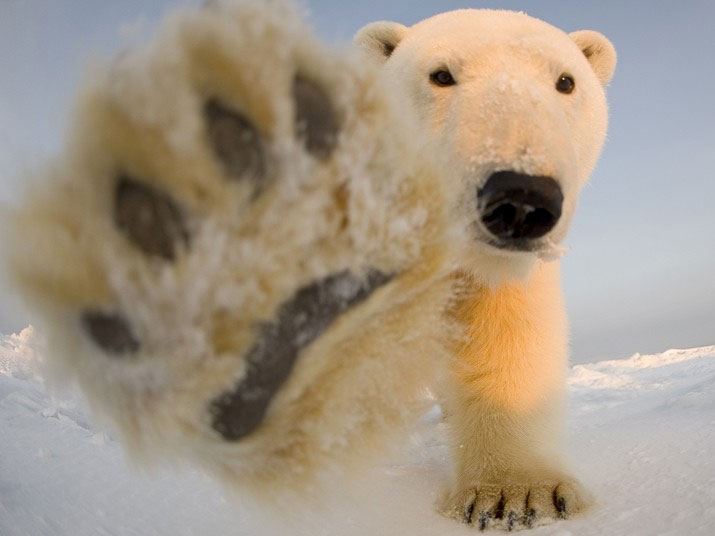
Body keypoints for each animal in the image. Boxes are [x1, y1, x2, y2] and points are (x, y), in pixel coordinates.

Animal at [356, 8, 620, 532]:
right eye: (440, 74)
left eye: (565, 81)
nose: (521, 199)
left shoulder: (492, 268)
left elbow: (504, 337)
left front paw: (518, 495)